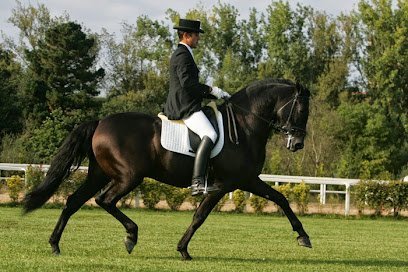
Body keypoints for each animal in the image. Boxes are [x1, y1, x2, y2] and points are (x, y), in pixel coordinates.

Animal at [23, 78, 310, 260]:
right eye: (300, 110)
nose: (297, 144)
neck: (244, 124)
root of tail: (100, 122)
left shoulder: (246, 180)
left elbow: (280, 199)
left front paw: (303, 237)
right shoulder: (230, 183)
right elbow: (201, 216)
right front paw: (183, 249)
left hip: (99, 174)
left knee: (74, 201)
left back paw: (55, 245)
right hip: (128, 177)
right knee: (104, 200)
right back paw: (131, 236)